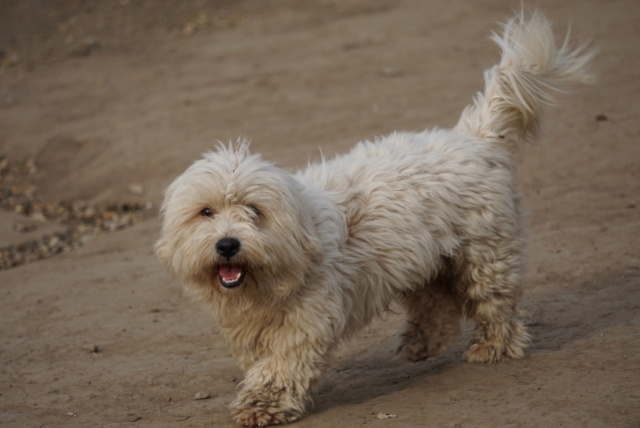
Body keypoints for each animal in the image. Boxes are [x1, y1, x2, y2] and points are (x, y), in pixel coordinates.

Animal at [155, 11, 592, 426]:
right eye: (206, 212)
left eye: (255, 211)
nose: (228, 244)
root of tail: (473, 137)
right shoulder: (248, 328)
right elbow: (259, 359)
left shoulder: (306, 319)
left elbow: (281, 365)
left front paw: (262, 405)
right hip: (422, 262)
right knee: (439, 304)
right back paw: (425, 343)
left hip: (486, 255)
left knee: (494, 303)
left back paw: (493, 346)